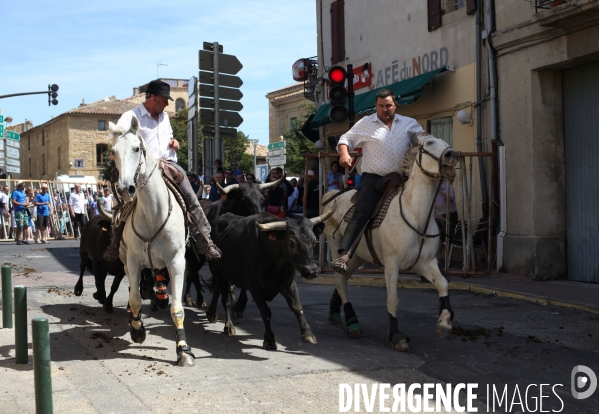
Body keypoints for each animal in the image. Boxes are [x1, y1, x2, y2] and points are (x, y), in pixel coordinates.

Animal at [106, 116, 193, 366]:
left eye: (137, 148)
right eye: (113, 152)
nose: (125, 189)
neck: (154, 214)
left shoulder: (177, 262)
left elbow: (177, 308)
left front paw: (183, 349)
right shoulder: (134, 261)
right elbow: (135, 299)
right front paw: (137, 330)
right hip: (127, 260)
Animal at [207, 210, 332, 350]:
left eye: (314, 241)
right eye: (291, 243)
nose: (312, 271)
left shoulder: (288, 284)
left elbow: (297, 307)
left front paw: (308, 334)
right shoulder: (255, 288)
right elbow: (266, 312)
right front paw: (269, 339)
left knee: (218, 288)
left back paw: (211, 313)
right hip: (217, 271)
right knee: (225, 300)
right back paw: (228, 325)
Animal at [324, 137, 460, 350]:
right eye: (430, 142)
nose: (452, 154)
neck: (415, 214)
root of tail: (333, 196)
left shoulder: (426, 264)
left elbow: (443, 284)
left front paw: (445, 323)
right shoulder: (392, 264)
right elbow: (393, 299)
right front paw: (396, 336)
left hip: (357, 256)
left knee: (343, 280)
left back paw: (336, 312)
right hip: (336, 247)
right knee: (340, 280)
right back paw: (353, 322)